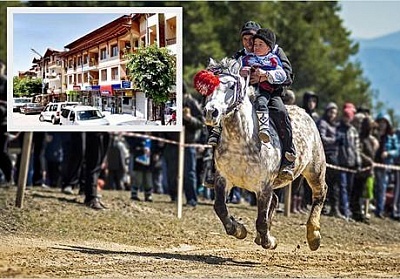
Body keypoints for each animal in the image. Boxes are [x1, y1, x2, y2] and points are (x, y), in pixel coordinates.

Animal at [194, 57, 328, 252]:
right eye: (208, 88)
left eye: (232, 86)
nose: (211, 112)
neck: (242, 142)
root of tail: (306, 113)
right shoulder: (222, 179)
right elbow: (220, 208)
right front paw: (238, 230)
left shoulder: (263, 186)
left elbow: (261, 220)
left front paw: (269, 240)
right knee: (276, 199)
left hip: (315, 169)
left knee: (320, 193)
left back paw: (313, 236)